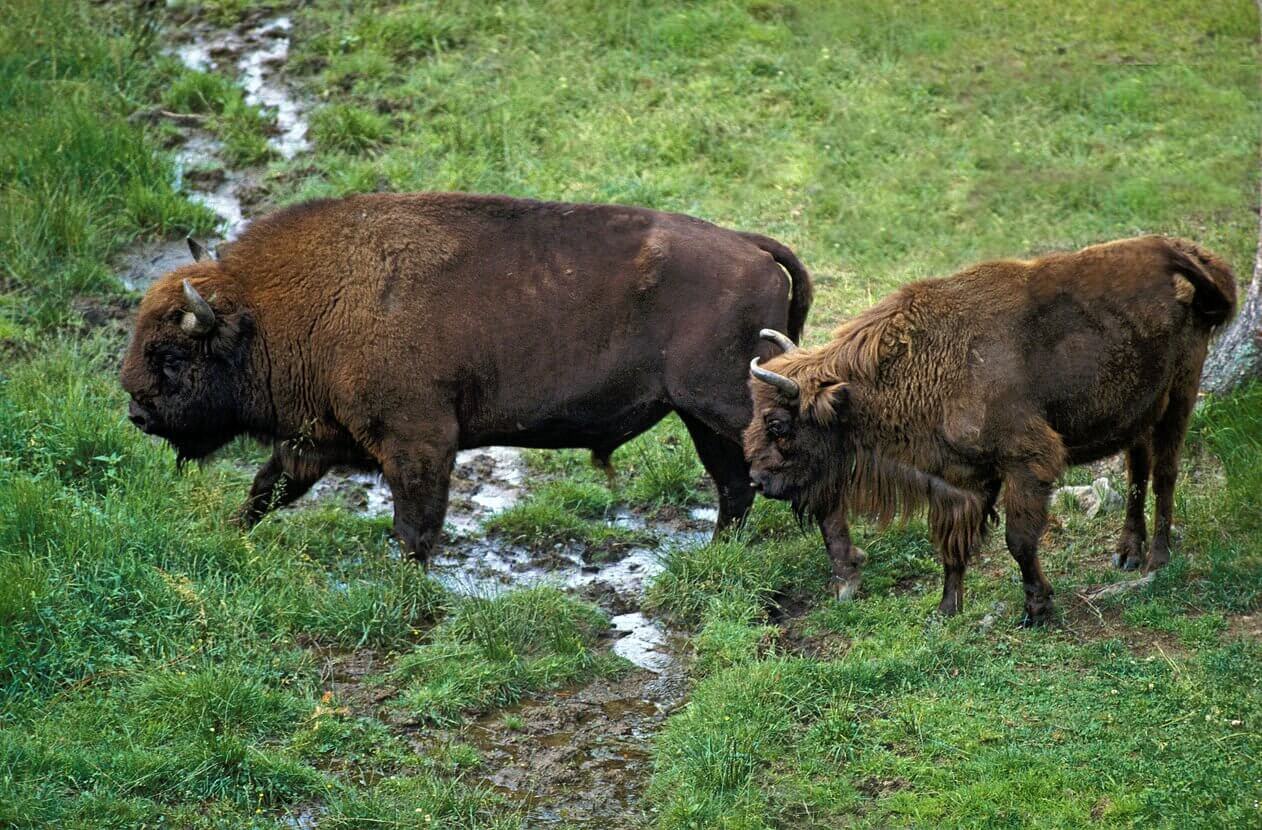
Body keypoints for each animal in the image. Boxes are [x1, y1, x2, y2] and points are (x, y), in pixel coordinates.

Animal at [121, 193, 811, 562]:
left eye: (173, 357)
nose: (137, 413)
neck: (272, 310)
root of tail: (750, 247)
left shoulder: (418, 442)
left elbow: (414, 523)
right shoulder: (312, 439)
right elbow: (266, 490)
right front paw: (227, 537)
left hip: (722, 403)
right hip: (697, 414)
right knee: (734, 484)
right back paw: (719, 555)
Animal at [745, 236, 1236, 624]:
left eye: (779, 424)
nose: (758, 480)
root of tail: (1183, 252)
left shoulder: (1027, 462)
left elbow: (1018, 541)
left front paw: (1037, 610)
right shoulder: (959, 480)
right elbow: (951, 546)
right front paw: (945, 612)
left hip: (1181, 391)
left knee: (1165, 474)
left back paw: (1157, 559)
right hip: (1139, 411)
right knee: (1138, 468)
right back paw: (1127, 553)